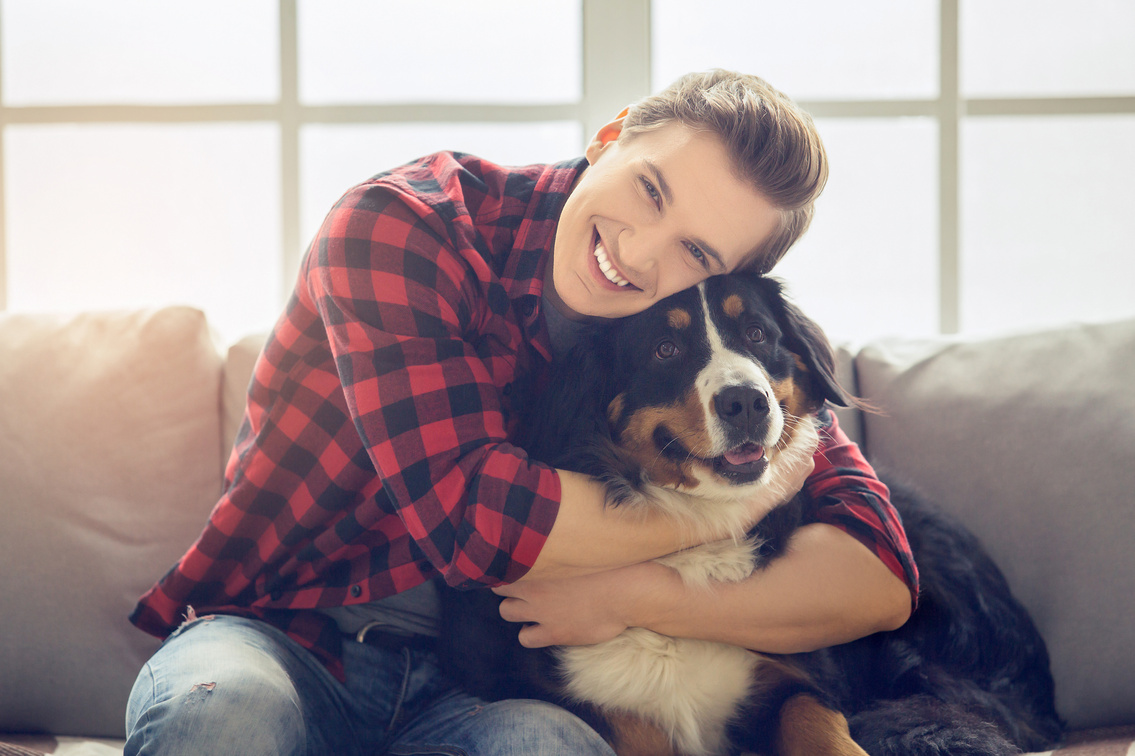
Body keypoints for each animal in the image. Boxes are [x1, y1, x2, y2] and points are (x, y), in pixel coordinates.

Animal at [435, 271, 1062, 753]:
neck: (693, 534)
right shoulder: (599, 704)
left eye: (758, 334)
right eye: (665, 349)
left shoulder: (798, 675)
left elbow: (815, 724)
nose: (745, 402)